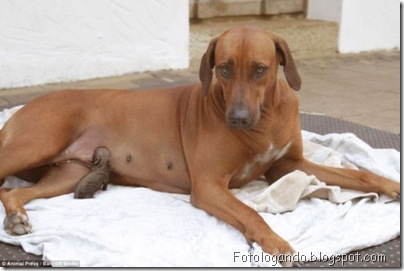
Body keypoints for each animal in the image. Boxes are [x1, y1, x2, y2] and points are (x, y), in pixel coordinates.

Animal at [0, 26, 400, 266]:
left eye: (260, 69)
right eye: (224, 68)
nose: (238, 118)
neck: (265, 117)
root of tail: (24, 108)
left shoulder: (288, 165)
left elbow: (360, 175)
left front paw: (391, 185)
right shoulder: (209, 186)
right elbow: (251, 214)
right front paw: (276, 242)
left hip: (71, 172)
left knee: (13, 192)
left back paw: (17, 216)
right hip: (38, 142)